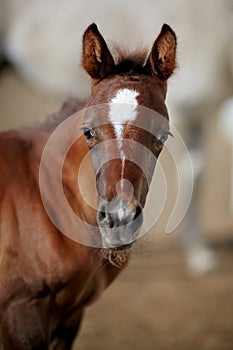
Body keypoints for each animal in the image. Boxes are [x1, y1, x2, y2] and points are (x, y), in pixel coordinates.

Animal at [0, 0, 233, 274]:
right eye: (87, 131)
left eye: (163, 135)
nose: (120, 219)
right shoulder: (188, 108)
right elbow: (193, 173)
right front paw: (197, 253)